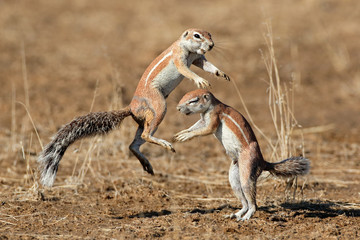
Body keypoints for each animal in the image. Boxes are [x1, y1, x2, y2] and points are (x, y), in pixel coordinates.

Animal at [38, 28, 229, 188]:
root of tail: (131, 108)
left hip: (145, 121)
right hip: (159, 107)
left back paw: (147, 164)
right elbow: (186, 70)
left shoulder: (197, 59)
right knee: (145, 135)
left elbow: (207, 65)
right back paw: (166, 145)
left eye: (210, 34)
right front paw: (200, 80)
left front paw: (221, 73)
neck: (186, 48)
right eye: (197, 35)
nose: (211, 45)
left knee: (134, 144)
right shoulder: (179, 58)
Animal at [174, 89, 310, 220]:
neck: (211, 106)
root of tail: (263, 161)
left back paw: (246, 217)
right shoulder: (203, 119)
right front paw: (182, 132)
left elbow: (206, 129)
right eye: (185, 95)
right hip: (234, 176)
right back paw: (235, 214)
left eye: (193, 100)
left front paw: (187, 135)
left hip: (247, 170)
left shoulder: (214, 116)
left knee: (253, 204)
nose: (178, 108)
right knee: (243, 200)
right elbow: (196, 126)